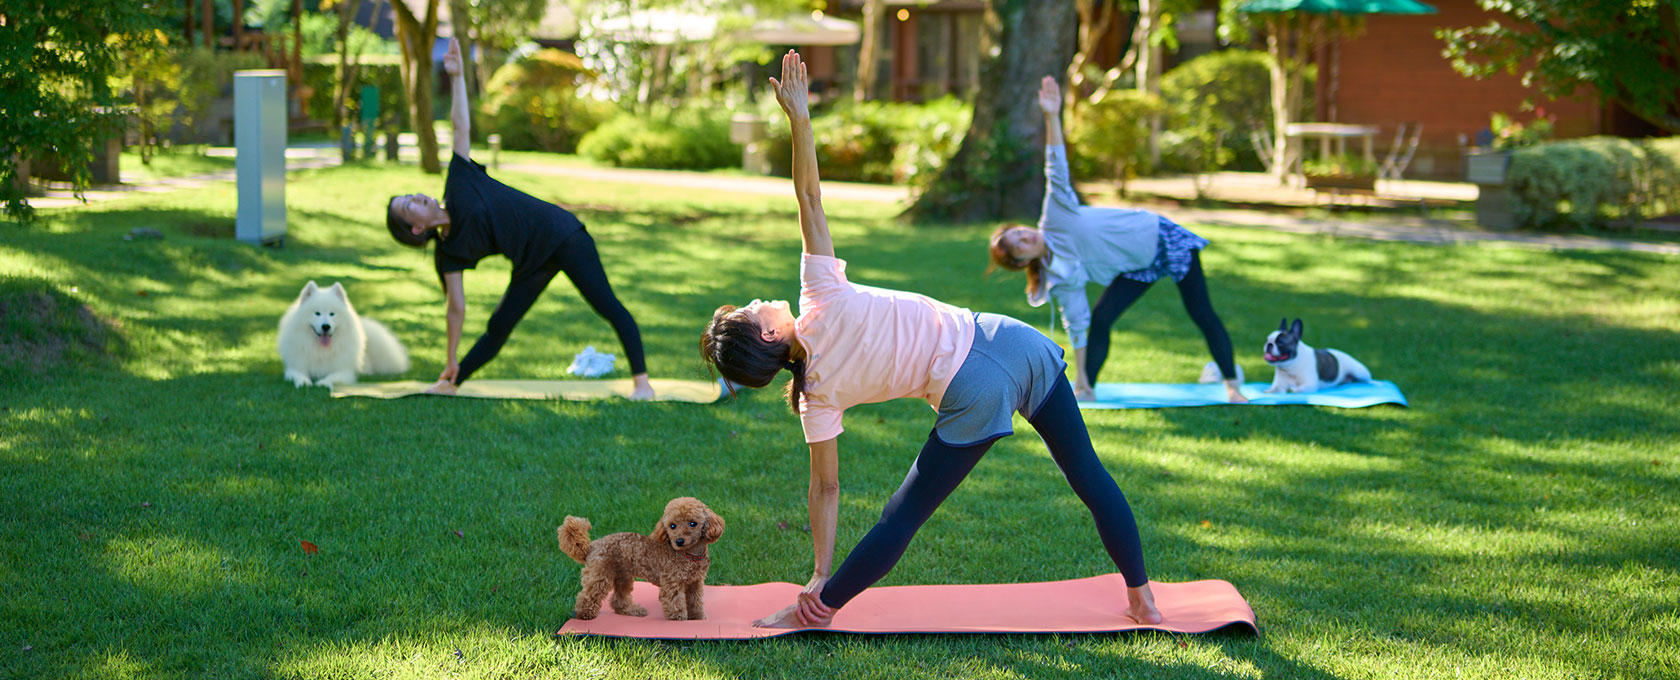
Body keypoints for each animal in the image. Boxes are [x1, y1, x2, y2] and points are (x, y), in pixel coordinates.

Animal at [275, 278, 409, 386]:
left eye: (332, 314)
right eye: (317, 313)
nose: (326, 326)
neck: (322, 351)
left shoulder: (345, 371)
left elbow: (333, 376)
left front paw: (323, 382)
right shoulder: (295, 367)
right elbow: (298, 375)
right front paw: (304, 382)